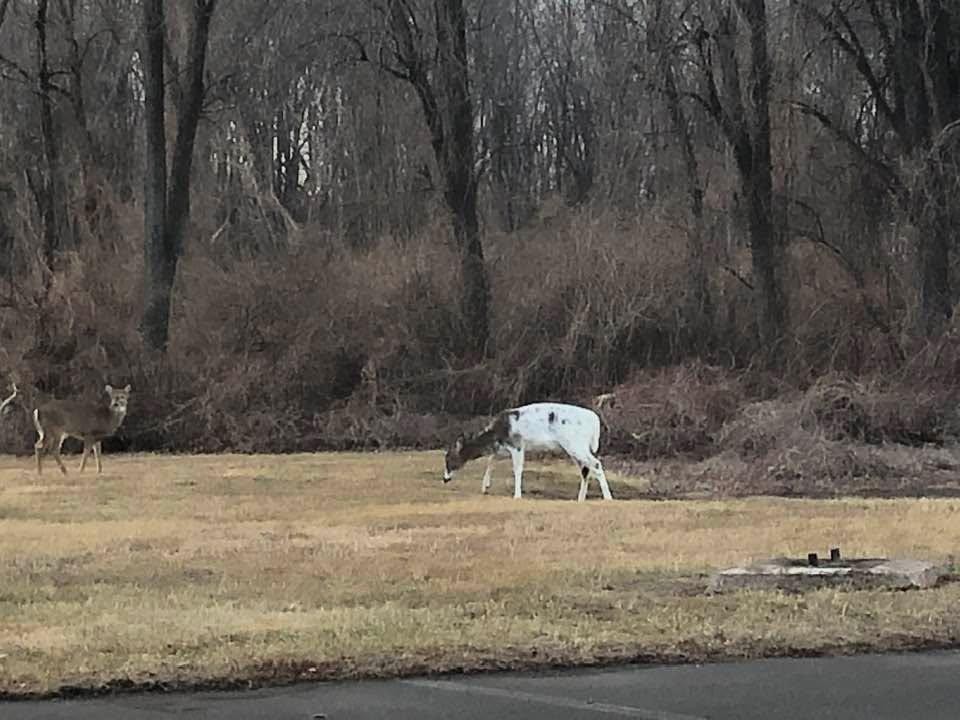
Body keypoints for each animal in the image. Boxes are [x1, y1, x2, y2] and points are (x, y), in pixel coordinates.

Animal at [442, 402, 613, 501]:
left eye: (449, 458)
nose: (445, 479)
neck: (497, 433)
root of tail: (595, 421)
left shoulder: (517, 444)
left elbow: (517, 469)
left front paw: (517, 496)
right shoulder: (504, 448)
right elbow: (491, 460)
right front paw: (485, 487)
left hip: (575, 443)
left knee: (595, 464)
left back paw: (608, 497)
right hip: (575, 447)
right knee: (585, 469)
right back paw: (581, 498)